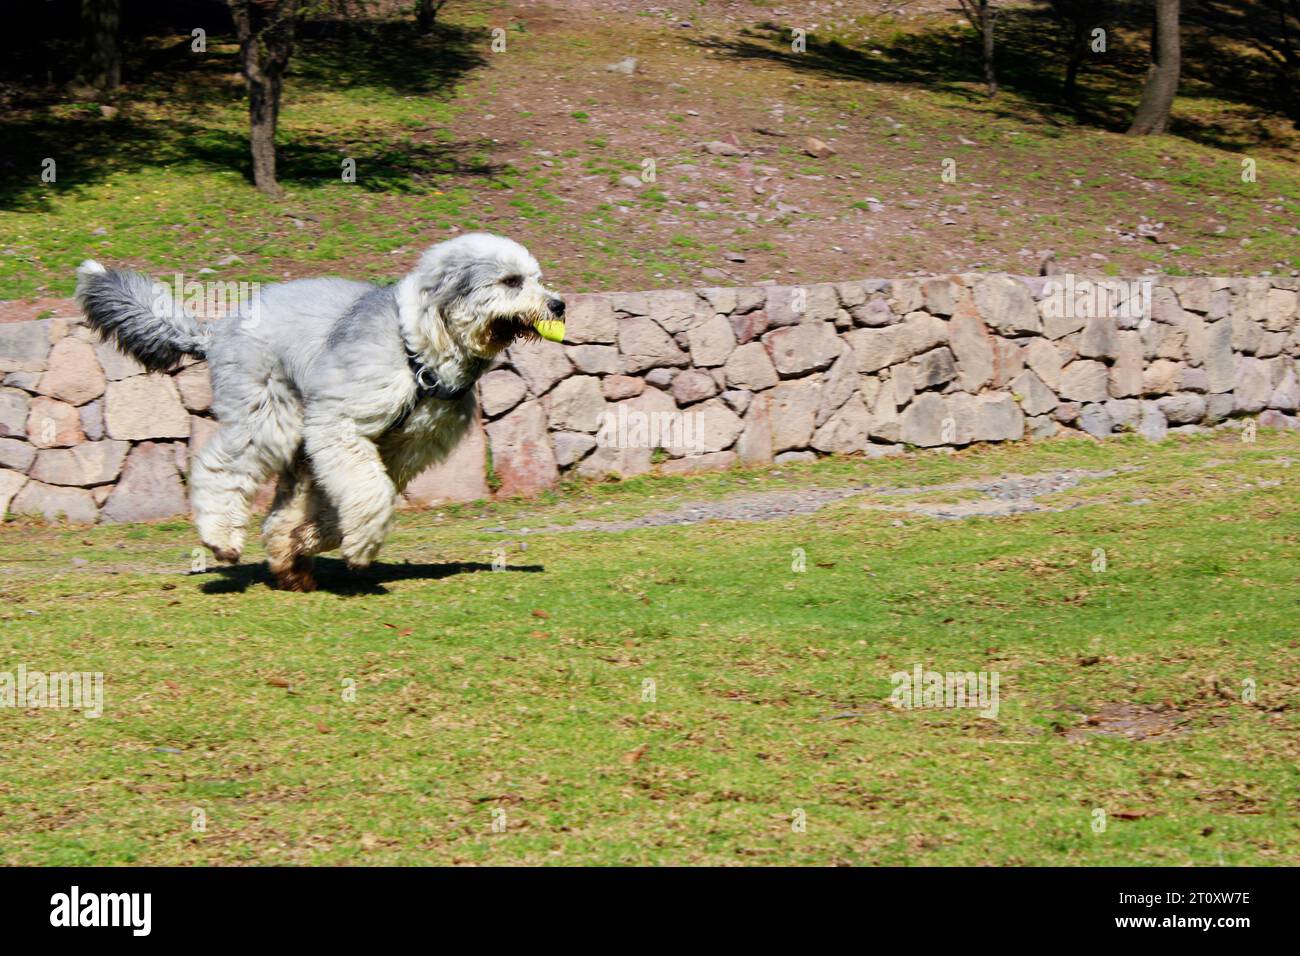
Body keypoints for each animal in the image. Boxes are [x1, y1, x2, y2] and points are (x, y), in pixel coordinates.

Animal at [76, 234, 564, 590]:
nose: (558, 305)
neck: (422, 349)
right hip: (268, 420)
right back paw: (221, 539)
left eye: (537, 278)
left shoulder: (401, 450)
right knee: (218, 468)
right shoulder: (338, 424)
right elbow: (371, 492)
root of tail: (217, 329)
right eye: (511, 281)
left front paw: (312, 539)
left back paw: (286, 556)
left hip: (299, 445)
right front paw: (360, 545)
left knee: (282, 506)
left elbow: (352, 501)